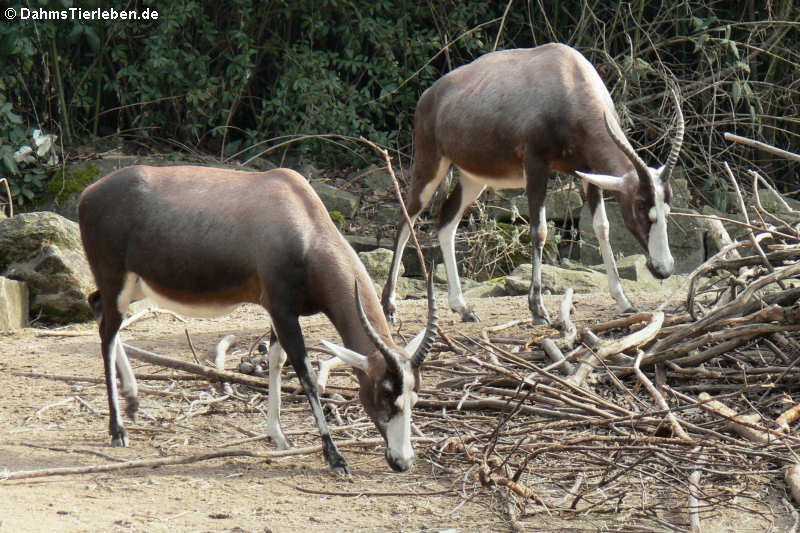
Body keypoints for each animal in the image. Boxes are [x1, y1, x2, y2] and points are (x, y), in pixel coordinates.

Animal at [78, 166, 438, 474]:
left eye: (414, 397)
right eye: (385, 394)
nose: (402, 461)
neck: (301, 219)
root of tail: (88, 194)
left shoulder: (279, 312)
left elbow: (276, 360)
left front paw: (278, 436)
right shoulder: (283, 310)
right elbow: (306, 374)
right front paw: (335, 457)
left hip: (134, 286)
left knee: (97, 306)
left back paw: (133, 401)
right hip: (116, 280)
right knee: (108, 331)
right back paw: (118, 429)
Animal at [380, 41, 680, 322]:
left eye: (667, 208)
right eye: (640, 205)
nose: (663, 268)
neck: (566, 77)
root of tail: (429, 96)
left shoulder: (588, 171)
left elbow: (602, 227)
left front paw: (625, 302)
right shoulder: (536, 164)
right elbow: (540, 230)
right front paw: (538, 309)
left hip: (473, 178)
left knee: (446, 221)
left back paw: (463, 308)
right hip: (430, 165)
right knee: (405, 218)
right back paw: (389, 307)